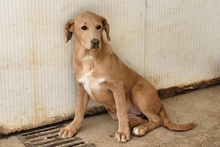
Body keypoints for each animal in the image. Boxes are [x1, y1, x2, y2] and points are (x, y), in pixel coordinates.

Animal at [58, 11, 194, 142]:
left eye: (99, 27)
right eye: (83, 27)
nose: (96, 42)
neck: (89, 57)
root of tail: (160, 102)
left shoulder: (117, 86)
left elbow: (121, 112)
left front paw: (123, 132)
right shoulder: (82, 87)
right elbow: (79, 111)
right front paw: (71, 128)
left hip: (137, 91)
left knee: (157, 120)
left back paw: (140, 129)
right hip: (115, 112)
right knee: (141, 118)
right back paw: (134, 125)